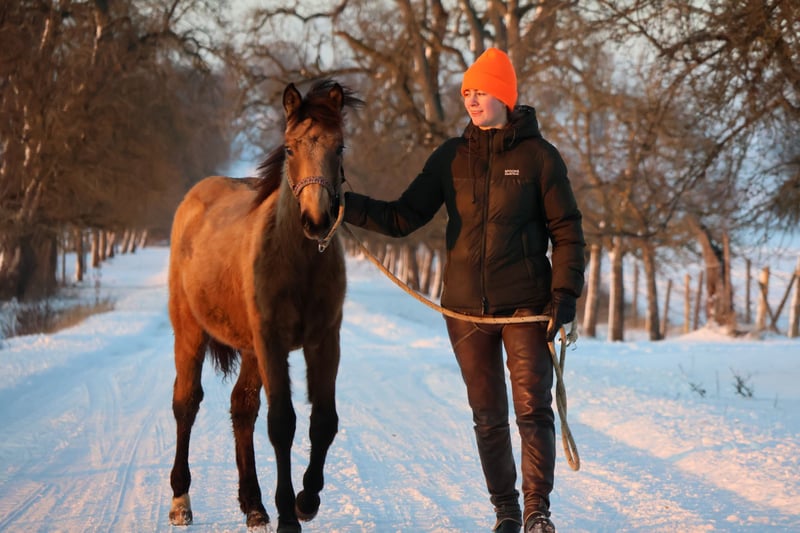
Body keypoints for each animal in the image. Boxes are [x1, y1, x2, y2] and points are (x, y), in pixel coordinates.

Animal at [167, 80, 362, 533]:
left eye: (340, 147)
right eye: (289, 148)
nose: (316, 221)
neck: (297, 259)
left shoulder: (324, 341)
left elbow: (323, 421)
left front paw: (307, 501)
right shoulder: (272, 342)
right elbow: (282, 423)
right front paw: (289, 514)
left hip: (250, 348)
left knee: (242, 409)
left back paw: (253, 505)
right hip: (191, 332)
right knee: (186, 403)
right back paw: (181, 500)